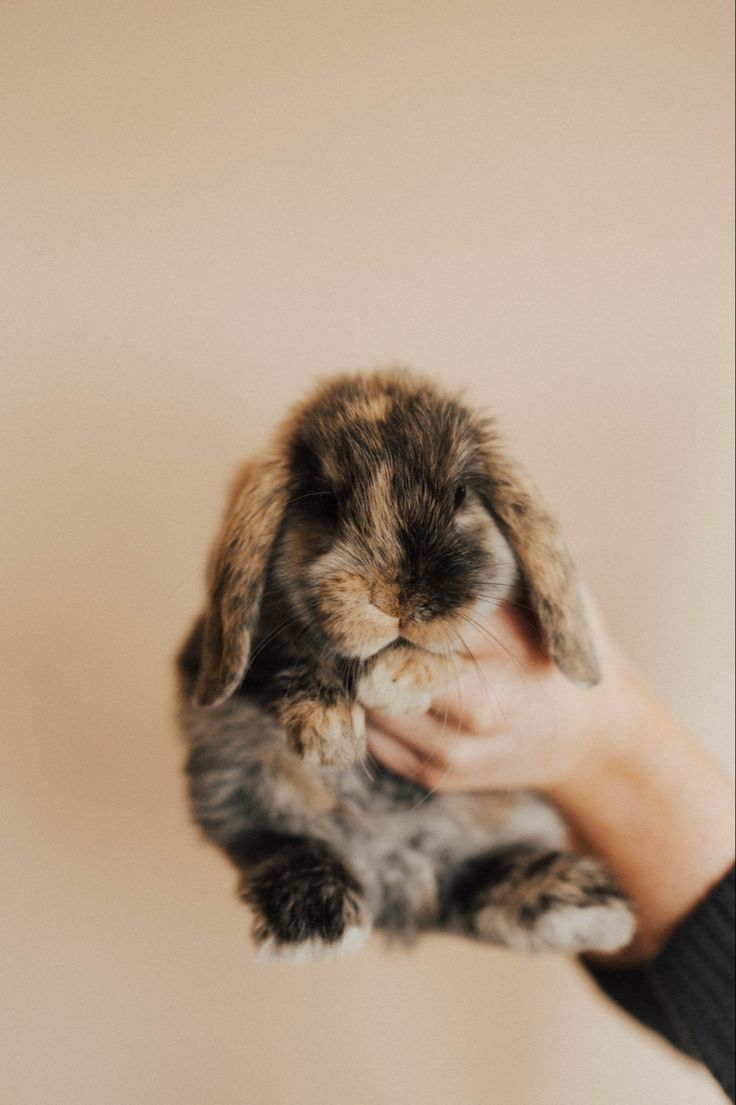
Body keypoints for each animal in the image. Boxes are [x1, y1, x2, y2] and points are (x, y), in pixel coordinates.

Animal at [174, 366, 632, 963]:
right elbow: (298, 648)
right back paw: (314, 922)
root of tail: (398, 878)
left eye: (461, 494)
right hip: (237, 777)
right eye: (325, 501)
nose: (395, 598)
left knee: (473, 884)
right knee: (278, 843)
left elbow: (453, 647)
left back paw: (583, 904)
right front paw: (330, 736)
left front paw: (392, 683)